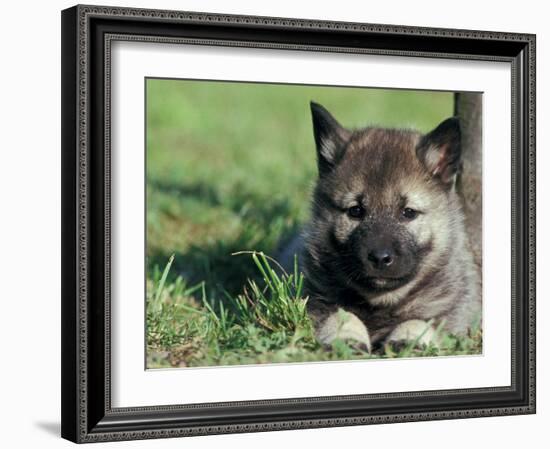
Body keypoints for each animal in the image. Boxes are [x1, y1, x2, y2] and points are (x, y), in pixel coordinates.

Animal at [284, 102, 484, 354]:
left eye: (408, 212)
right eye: (355, 211)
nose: (380, 258)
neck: (382, 302)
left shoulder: (453, 313)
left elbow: (419, 320)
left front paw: (408, 338)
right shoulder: (317, 301)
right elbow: (341, 314)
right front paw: (346, 336)